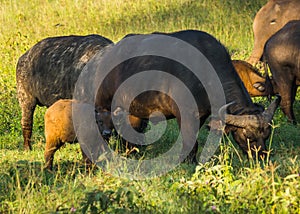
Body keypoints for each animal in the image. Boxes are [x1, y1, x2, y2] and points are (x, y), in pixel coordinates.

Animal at [90, 30, 280, 163]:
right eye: (248, 136)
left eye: (267, 135)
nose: (262, 156)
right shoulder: (185, 113)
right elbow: (191, 143)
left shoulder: (201, 115)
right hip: (103, 105)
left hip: (133, 110)